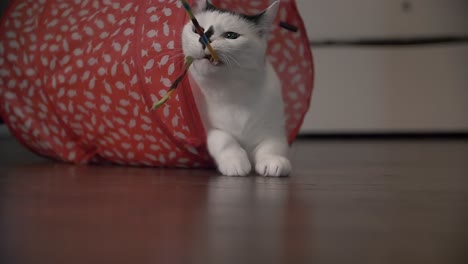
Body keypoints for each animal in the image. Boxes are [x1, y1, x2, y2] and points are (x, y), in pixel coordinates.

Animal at [181, 1, 290, 177]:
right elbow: (224, 139)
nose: (204, 38)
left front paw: (273, 161)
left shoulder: (274, 128)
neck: (232, 92)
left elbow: (272, 145)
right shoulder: (208, 128)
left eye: (231, 35)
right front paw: (235, 162)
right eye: (197, 29)